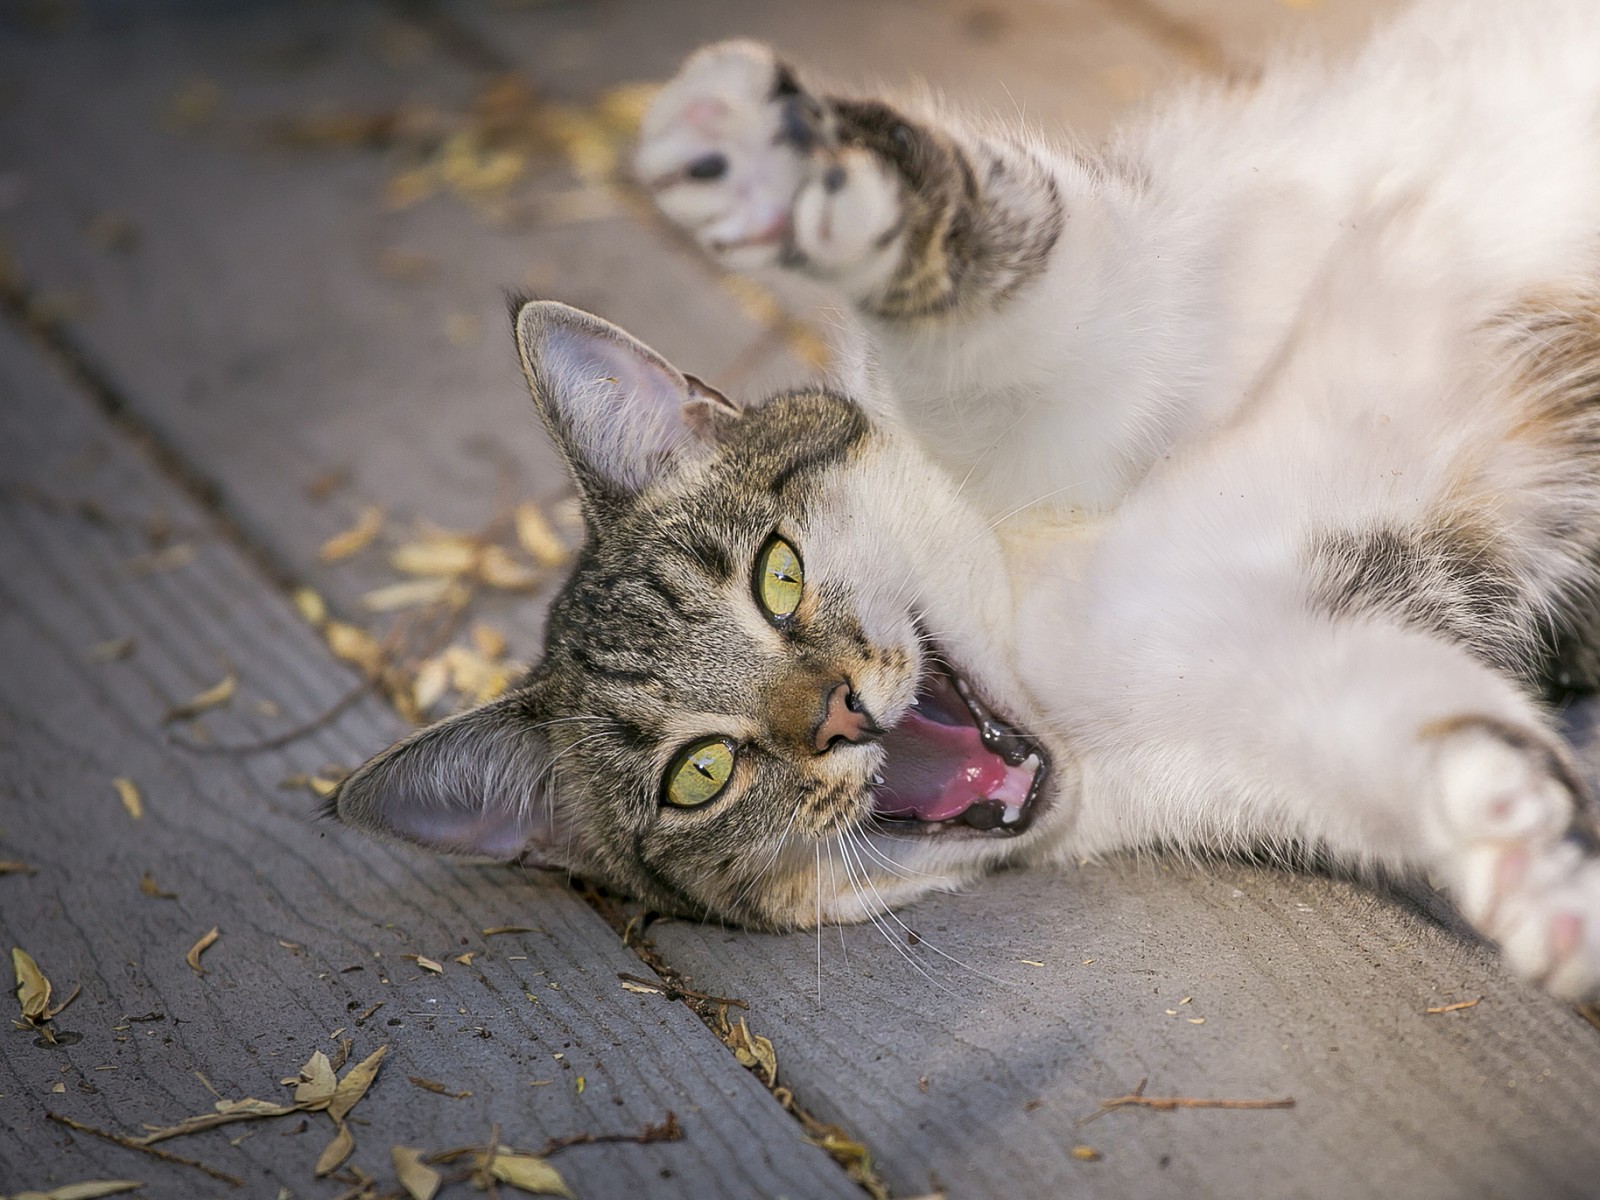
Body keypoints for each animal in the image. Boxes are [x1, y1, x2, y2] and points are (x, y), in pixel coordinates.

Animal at [331, 0, 1600, 1004]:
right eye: (701, 773)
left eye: (777, 574)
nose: (840, 713)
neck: (1049, 626)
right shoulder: (1276, 676)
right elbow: (1411, 724)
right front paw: (1513, 852)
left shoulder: (1109, 313)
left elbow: (985, 277)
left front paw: (785, 173)